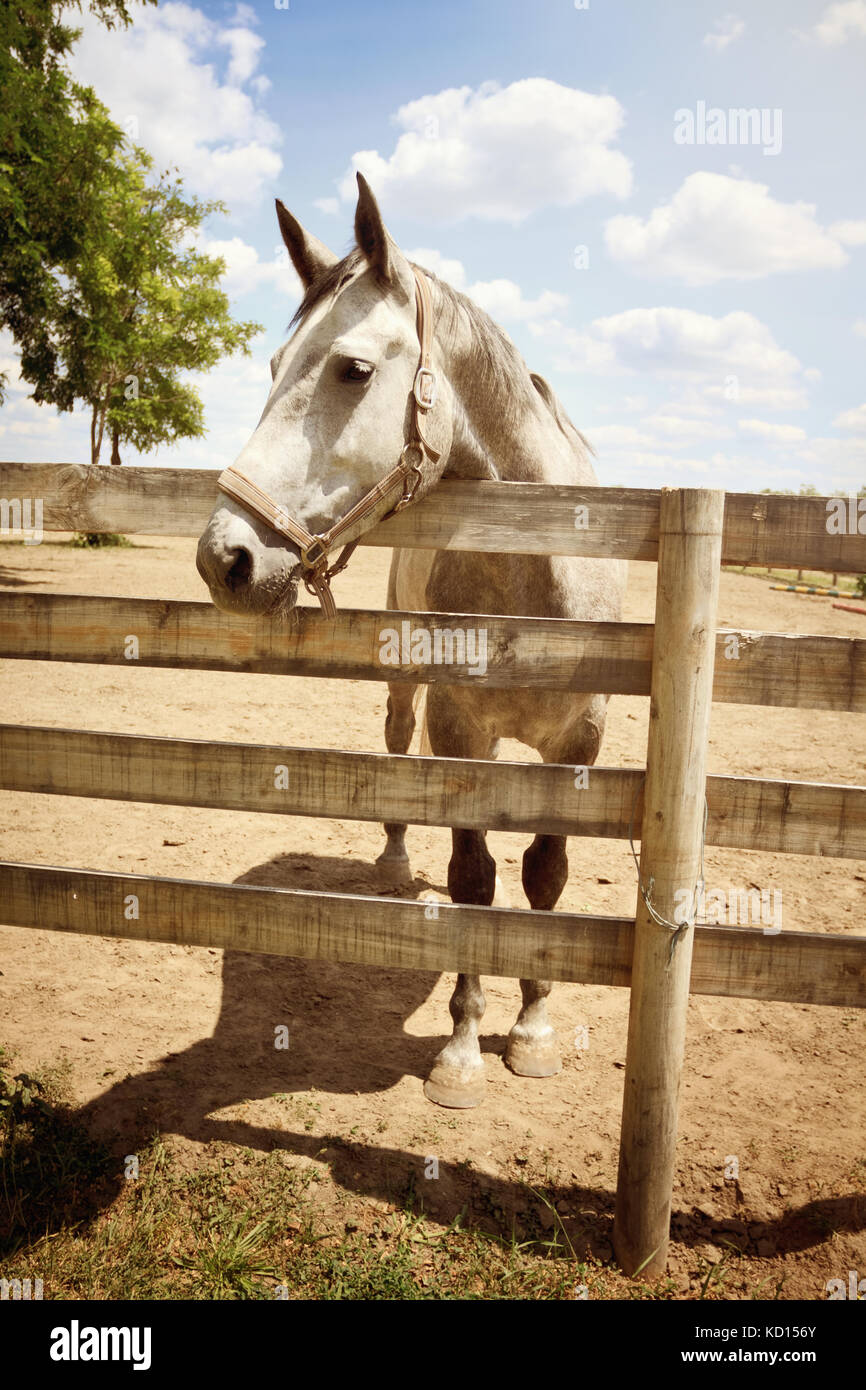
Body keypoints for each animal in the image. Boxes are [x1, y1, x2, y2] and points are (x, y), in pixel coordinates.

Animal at [200, 173, 625, 1106]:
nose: (224, 557)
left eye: (353, 368)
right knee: (397, 753)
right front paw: (463, 1049)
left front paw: (533, 1029)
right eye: (273, 367)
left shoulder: (578, 745)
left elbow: (545, 875)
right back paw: (396, 863)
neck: (537, 579)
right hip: (409, 698)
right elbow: (474, 881)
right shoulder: (460, 734)